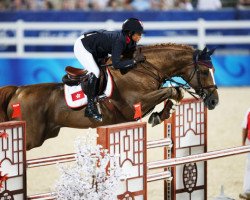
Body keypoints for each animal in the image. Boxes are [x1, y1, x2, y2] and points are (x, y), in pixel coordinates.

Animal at [0, 43, 219, 150]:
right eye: (204, 72)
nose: (214, 101)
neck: (142, 69)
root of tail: (18, 90)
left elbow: (173, 93)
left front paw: (161, 114)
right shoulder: (133, 105)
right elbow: (172, 91)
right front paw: (159, 115)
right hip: (31, 137)